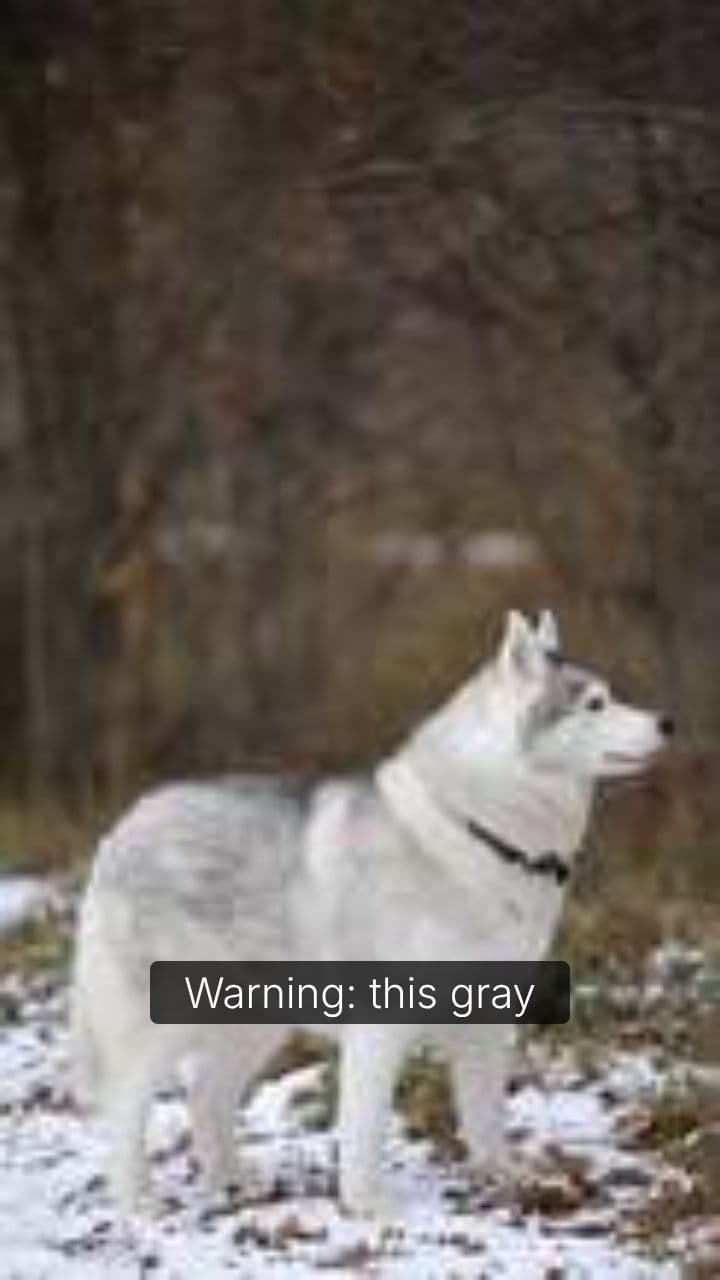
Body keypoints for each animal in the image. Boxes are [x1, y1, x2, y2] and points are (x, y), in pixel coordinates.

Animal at [69, 609, 672, 1217]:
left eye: (611, 696)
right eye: (594, 703)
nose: (668, 722)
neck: (477, 830)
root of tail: (124, 826)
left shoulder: (486, 1024)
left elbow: (486, 1122)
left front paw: (507, 1182)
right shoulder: (379, 1030)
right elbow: (365, 1131)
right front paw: (370, 1209)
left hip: (254, 1024)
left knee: (205, 1097)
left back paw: (233, 1184)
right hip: (162, 1028)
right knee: (124, 1110)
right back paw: (139, 1204)